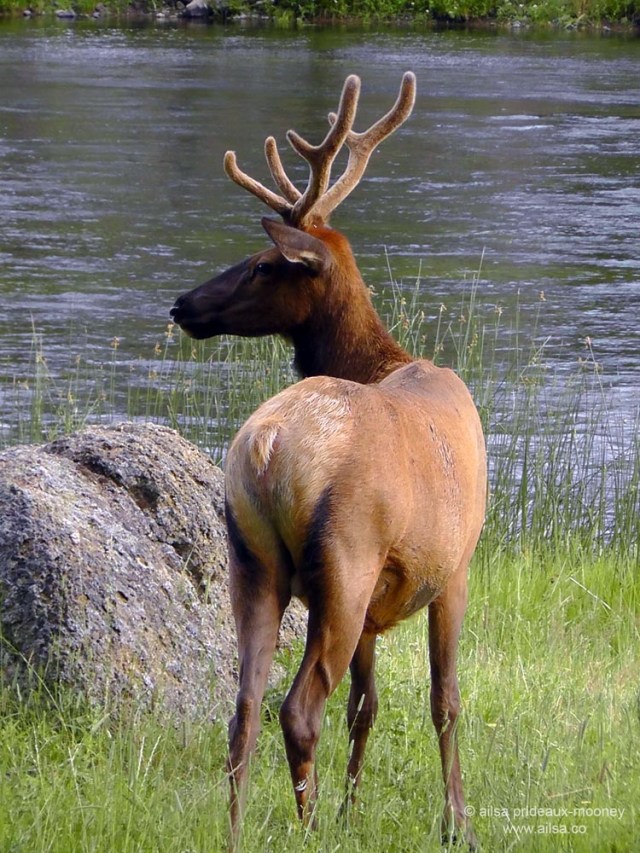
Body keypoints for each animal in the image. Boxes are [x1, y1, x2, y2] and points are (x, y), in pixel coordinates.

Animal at [170, 72, 486, 850]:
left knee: (244, 706)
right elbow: (444, 698)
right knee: (298, 707)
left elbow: (366, 707)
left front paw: (352, 809)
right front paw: (456, 821)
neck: (388, 360)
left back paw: (239, 828)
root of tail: (265, 447)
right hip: (345, 558)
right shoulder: (457, 561)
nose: (183, 304)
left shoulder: (383, 602)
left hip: (252, 558)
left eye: (261, 264)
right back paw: (306, 828)